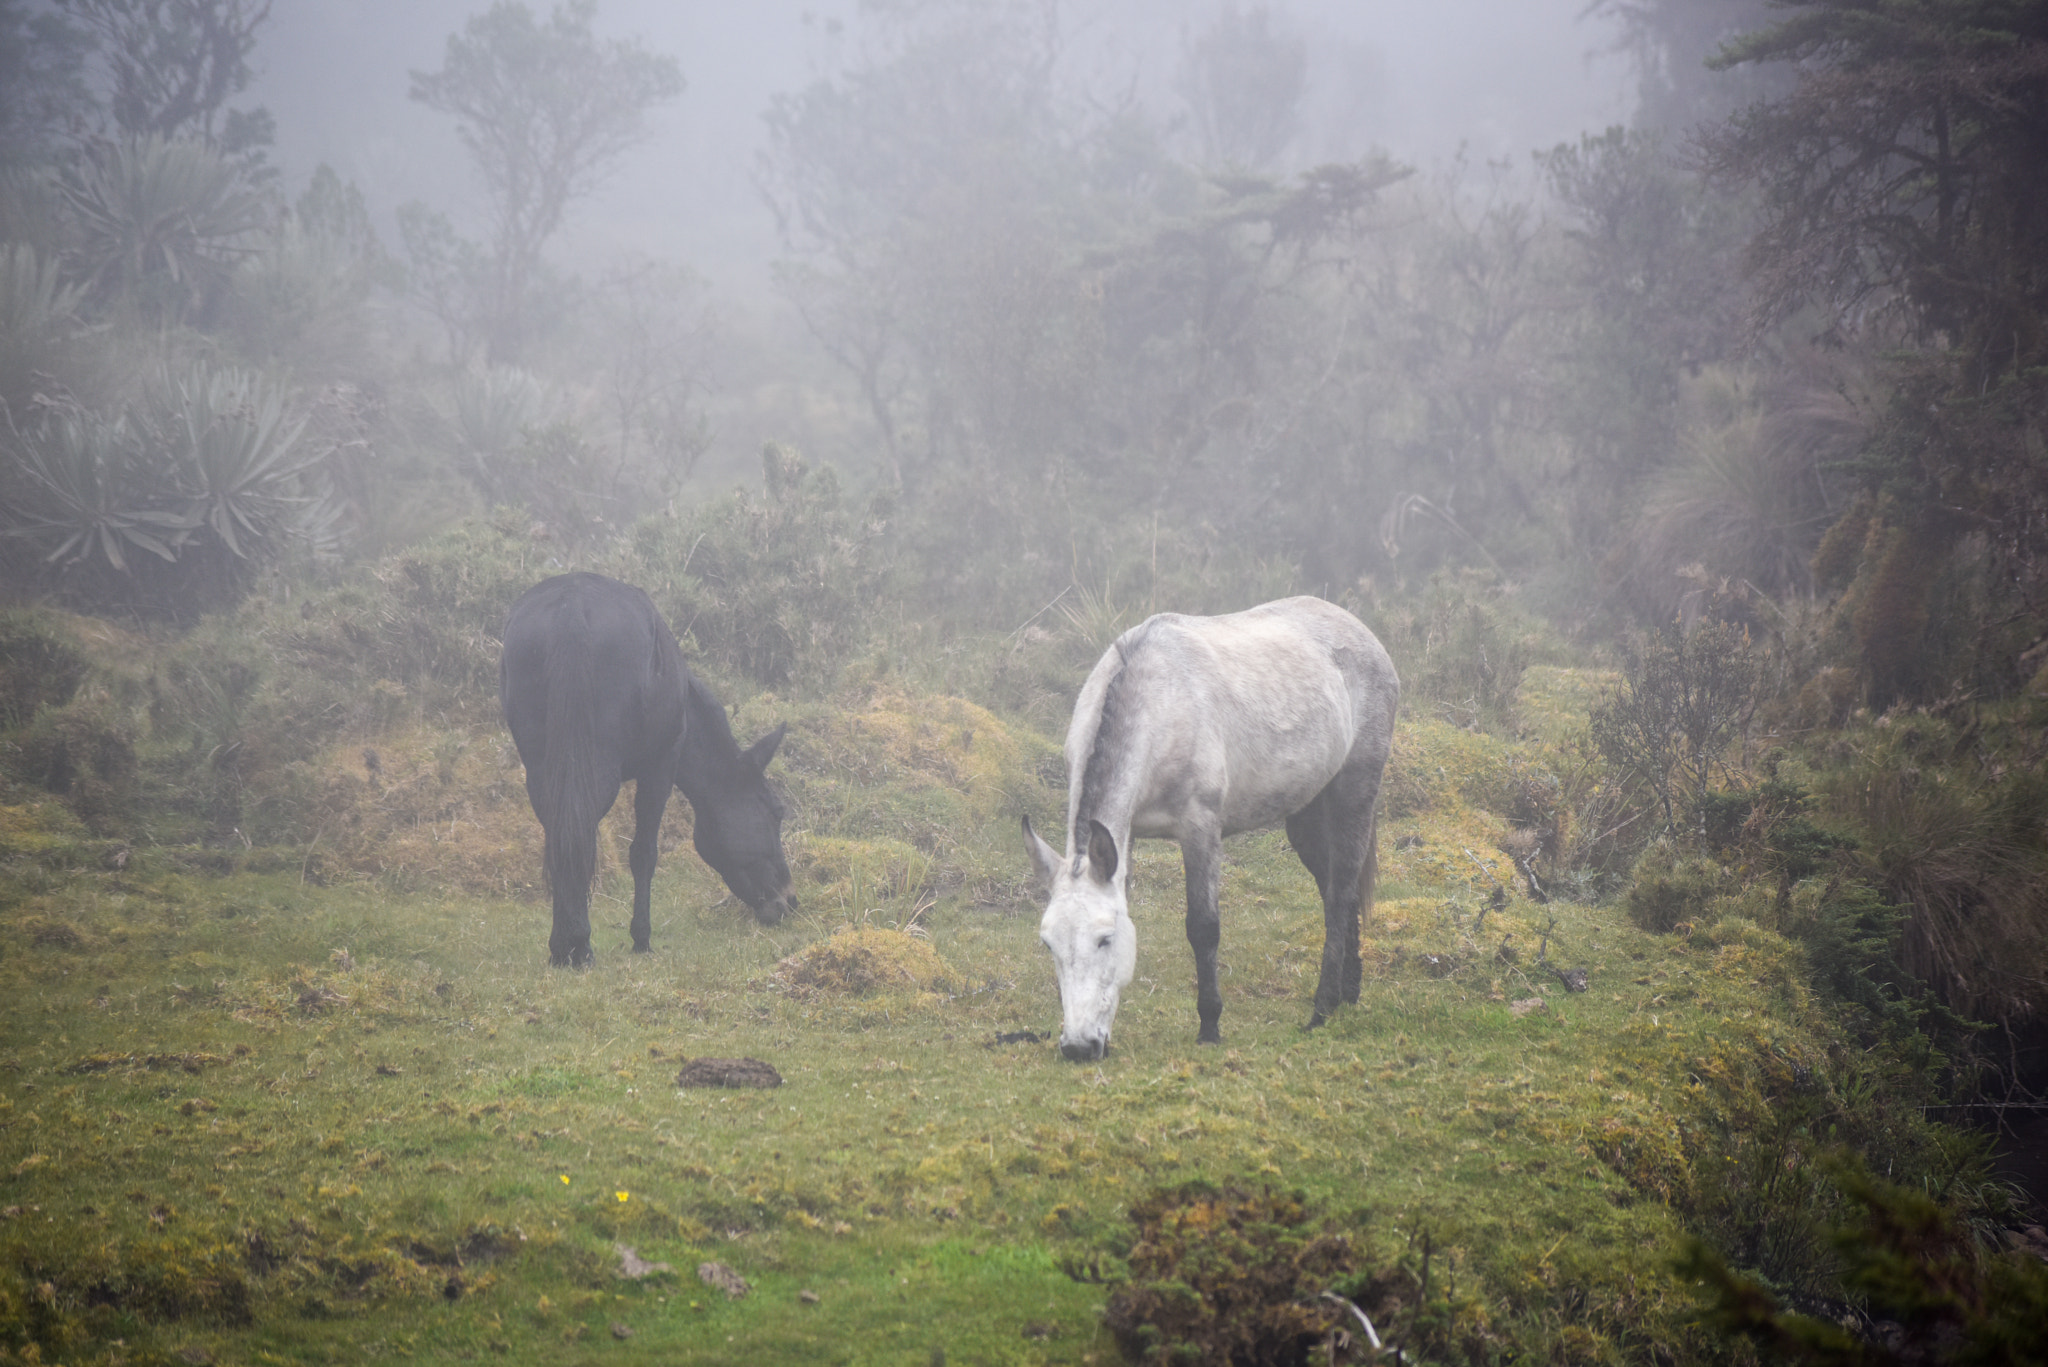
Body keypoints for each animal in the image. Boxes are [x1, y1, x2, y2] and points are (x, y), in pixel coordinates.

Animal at [499, 573, 794, 966]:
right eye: (776, 811)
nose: (790, 899)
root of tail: (571, 607)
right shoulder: (661, 765)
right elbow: (644, 853)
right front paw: (641, 938)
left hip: (540, 763)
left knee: (561, 835)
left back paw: (563, 946)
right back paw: (579, 943)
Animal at [1023, 596, 1399, 1060]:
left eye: (1105, 939)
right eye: (1049, 944)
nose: (1078, 1047)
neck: (1158, 705)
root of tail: (1361, 631)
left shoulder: (1199, 830)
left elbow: (1203, 927)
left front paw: (1210, 1025)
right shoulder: (1122, 839)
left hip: (1355, 789)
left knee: (1342, 890)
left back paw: (1323, 1008)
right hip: (1307, 813)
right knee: (1333, 889)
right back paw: (1349, 992)